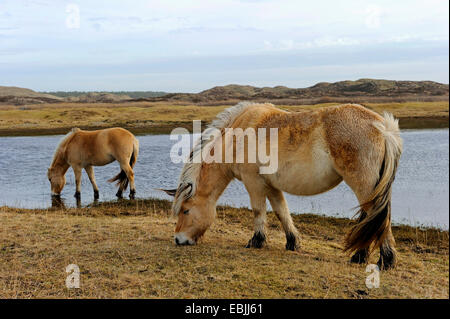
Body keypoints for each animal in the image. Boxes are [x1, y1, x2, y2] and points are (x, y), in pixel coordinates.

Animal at [163, 102, 402, 270]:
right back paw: (363, 257)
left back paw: (383, 261)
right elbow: (282, 212)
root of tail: (383, 127)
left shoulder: (254, 183)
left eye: (186, 210)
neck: (235, 137)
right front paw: (292, 243)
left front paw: (256, 241)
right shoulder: (271, 185)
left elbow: (258, 211)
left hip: (364, 187)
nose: (178, 239)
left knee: (377, 218)